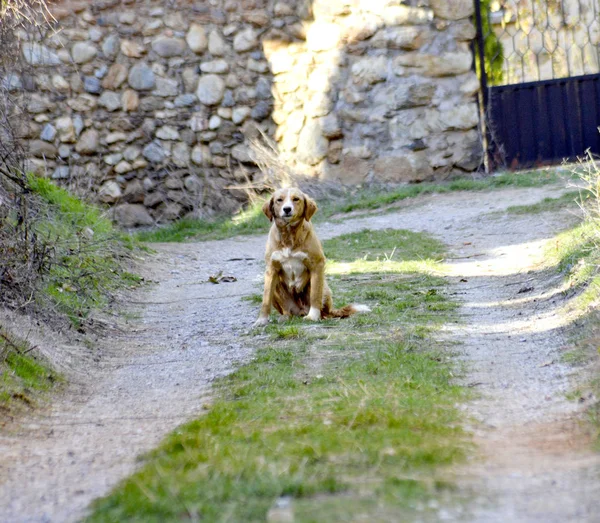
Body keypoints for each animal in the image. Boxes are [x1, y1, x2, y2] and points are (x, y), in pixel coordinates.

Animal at [254, 188, 370, 328]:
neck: (289, 235)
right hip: (278, 288)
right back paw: (285, 317)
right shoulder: (271, 270)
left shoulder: (317, 265)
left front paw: (313, 316)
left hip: (324, 288)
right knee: (287, 310)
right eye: (279, 200)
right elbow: (265, 300)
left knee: (325, 311)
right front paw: (262, 320)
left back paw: (317, 315)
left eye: (296, 199)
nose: (287, 209)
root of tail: (301, 311)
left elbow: (315, 295)